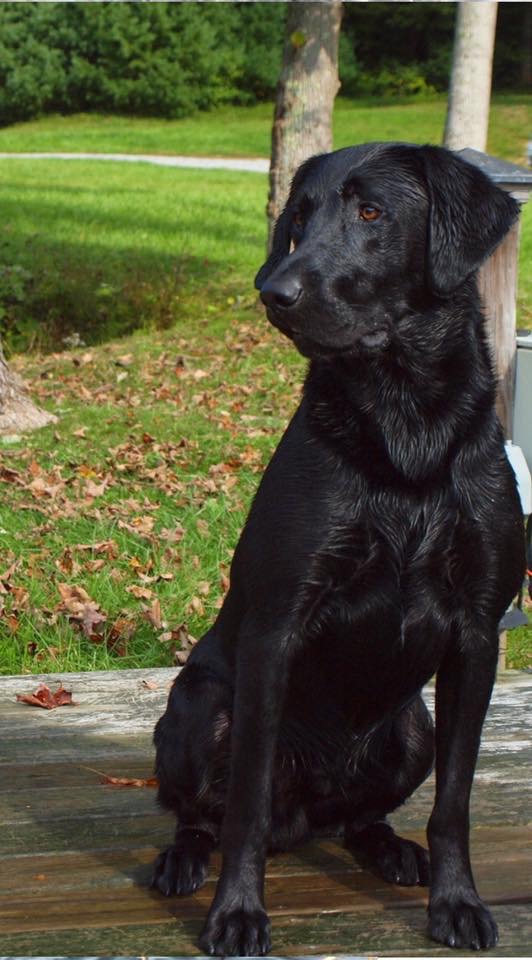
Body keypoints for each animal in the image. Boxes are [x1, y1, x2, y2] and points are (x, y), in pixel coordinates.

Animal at [152, 142, 524, 952]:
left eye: (372, 212)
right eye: (298, 219)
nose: (273, 291)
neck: (406, 427)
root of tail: (306, 817)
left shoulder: (478, 632)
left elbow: (454, 803)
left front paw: (457, 901)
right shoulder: (276, 629)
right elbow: (245, 805)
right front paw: (237, 913)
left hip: (412, 728)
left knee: (362, 816)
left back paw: (390, 847)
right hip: (200, 706)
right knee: (205, 813)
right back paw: (181, 858)